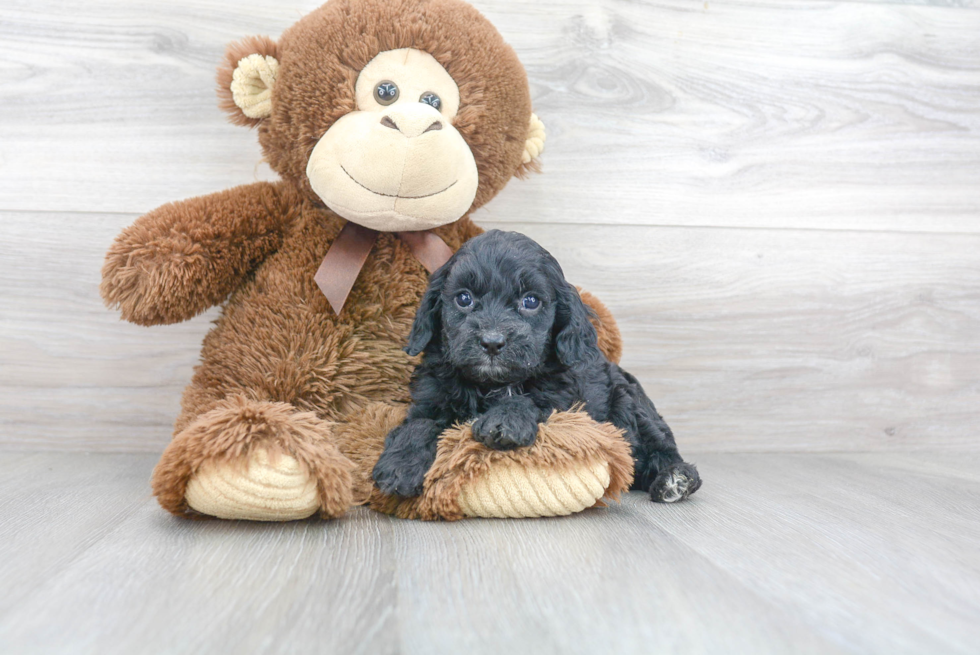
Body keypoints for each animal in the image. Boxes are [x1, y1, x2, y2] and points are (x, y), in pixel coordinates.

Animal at [372, 233, 700, 504]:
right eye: (464, 298)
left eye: (530, 301)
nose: (492, 342)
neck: (491, 385)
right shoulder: (430, 399)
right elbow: (419, 424)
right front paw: (400, 465)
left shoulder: (565, 402)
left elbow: (529, 401)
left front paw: (505, 420)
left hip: (630, 404)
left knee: (658, 450)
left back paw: (675, 479)